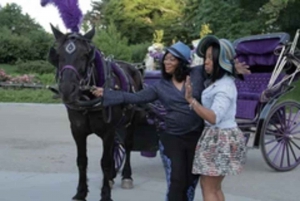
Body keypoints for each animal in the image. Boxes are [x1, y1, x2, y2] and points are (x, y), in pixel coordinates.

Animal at [47, 25, 149, 201]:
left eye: (85, 55)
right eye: (58, 55)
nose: (67, 90)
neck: (89, 101)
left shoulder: (108, 131)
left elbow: (105, 162)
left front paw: (105, 194)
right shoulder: (77, 131)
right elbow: (82, 161)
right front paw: (80, 193)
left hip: (131, 120)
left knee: (128, 145)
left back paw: (126, 176)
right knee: (116, 146)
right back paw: (112, 176)